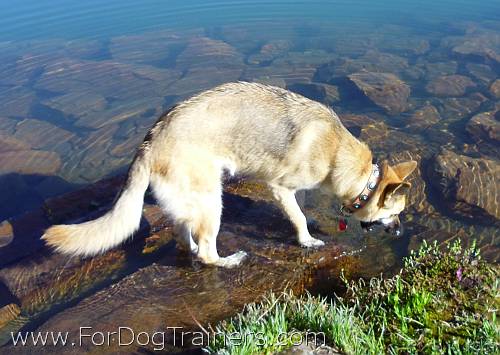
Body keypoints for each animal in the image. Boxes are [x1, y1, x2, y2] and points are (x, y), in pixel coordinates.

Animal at [43, 82, 418, 268]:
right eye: (396, 213)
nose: (401, 232)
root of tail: (150, 141)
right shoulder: (280, 188)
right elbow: (297, 216)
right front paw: (307, 240)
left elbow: (303, 208)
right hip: (213, 202)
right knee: (206, 252)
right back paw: (229, 261)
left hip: (191, 202)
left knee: (185, 237)